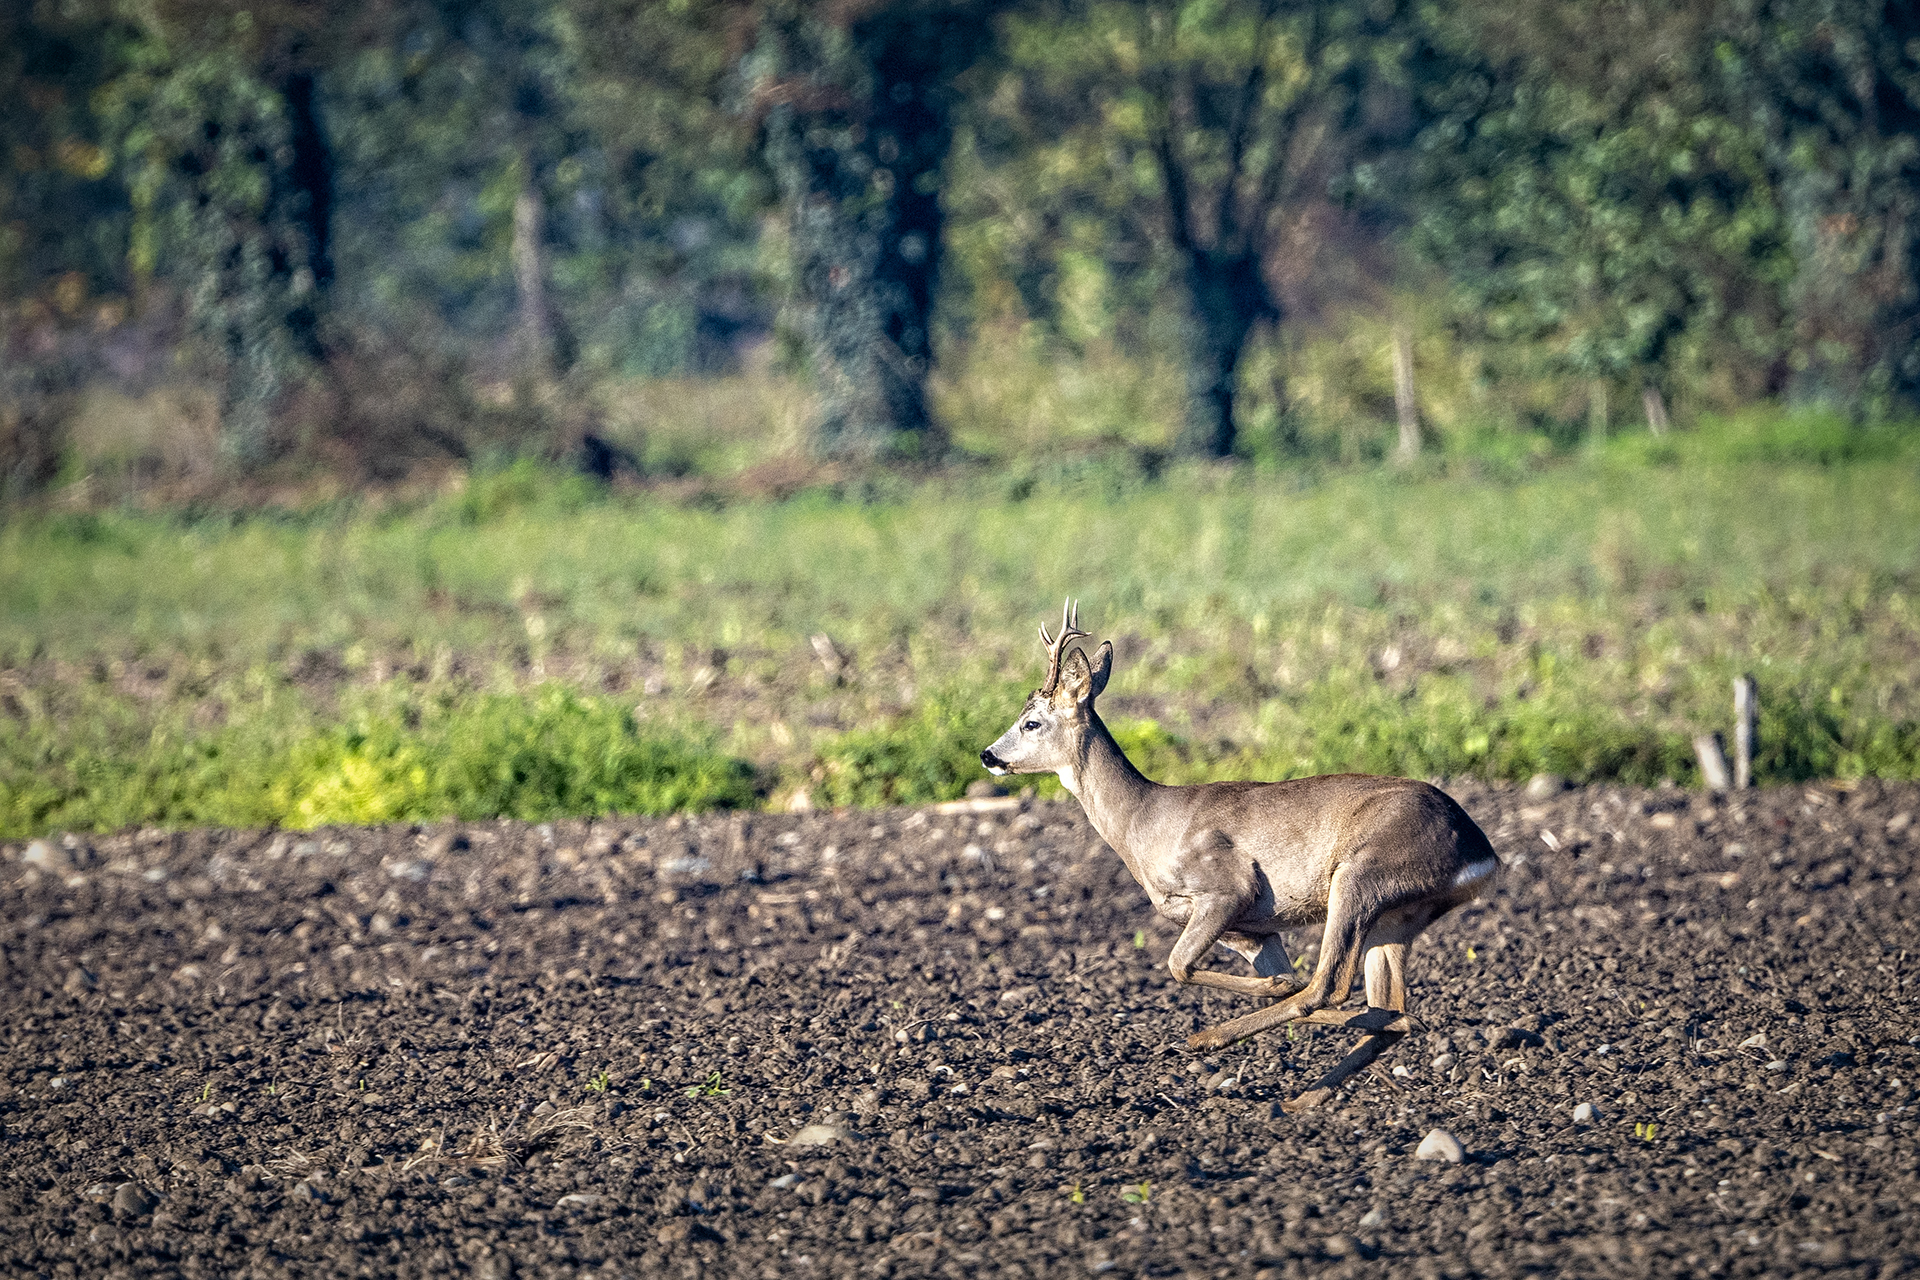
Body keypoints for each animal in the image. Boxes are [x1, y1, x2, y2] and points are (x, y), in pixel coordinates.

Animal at [980, 600, 1499, 1112]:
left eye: (1031, 722)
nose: (987, 755)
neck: (1144, 822)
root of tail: (1482, 854)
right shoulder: (1254, 929)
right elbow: (1257, 972)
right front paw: (1277, 988)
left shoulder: (1227, 887)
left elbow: (1179, 966)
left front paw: (1253, 1002)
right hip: (1397, 918)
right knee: (1387, 1006)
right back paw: (1305, 1096)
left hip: (1362, 874)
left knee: (1328, 985)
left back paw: (1211, 1039)